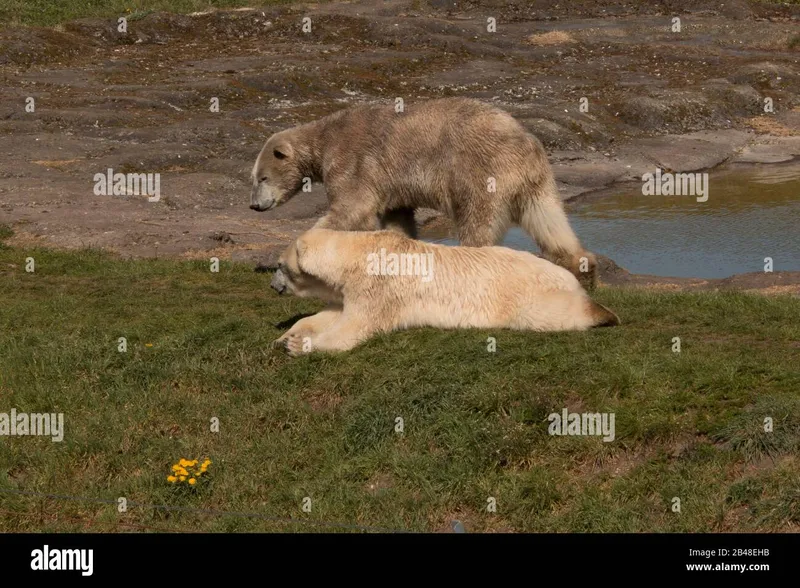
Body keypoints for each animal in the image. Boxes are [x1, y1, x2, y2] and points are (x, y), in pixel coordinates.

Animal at [253, 97, 596, 290]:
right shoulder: (392, 184)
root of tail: (525, 140)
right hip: (536, 180)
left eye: (262, 177)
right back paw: (584, 269)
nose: (254, 205)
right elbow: (397, 220)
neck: (324, 140)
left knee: (477, 224)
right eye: (253, 178)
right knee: (548, 219)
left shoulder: (352, 161)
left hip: (480, 171)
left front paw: (284, 270)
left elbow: (351, 210)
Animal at [270, 229, 620, 358]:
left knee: (550, 313)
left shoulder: (379, 287)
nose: (273, 285)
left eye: (280, 266)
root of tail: (567, 277)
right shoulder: (355, 288)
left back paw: (604, 314)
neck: (361, 252)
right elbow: (332, 314)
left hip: (527, 292)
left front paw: (300, 345)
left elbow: (354, 327)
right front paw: (286, 335)